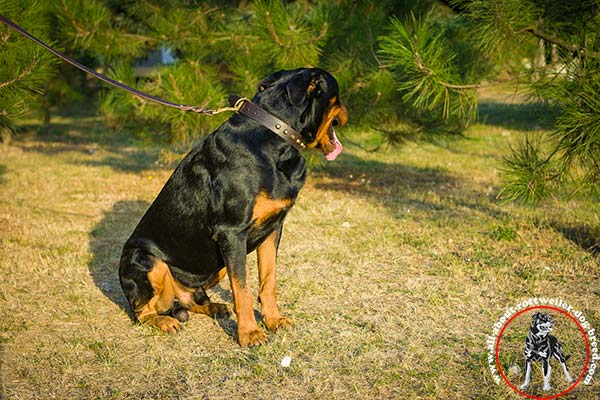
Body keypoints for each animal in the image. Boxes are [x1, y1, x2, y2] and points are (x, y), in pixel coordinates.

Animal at [118, 67, 346, 346]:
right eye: (338, 96)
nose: (347, 112)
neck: (274, 134)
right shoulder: (232, 232)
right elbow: (243, 289)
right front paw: (249, 333)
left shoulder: (273, 228)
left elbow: (268, 280)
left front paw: (274, 320)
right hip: (145, 259)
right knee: (141, 312)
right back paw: (165, 321)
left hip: (217, 267)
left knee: (192, 299)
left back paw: (213, 306)